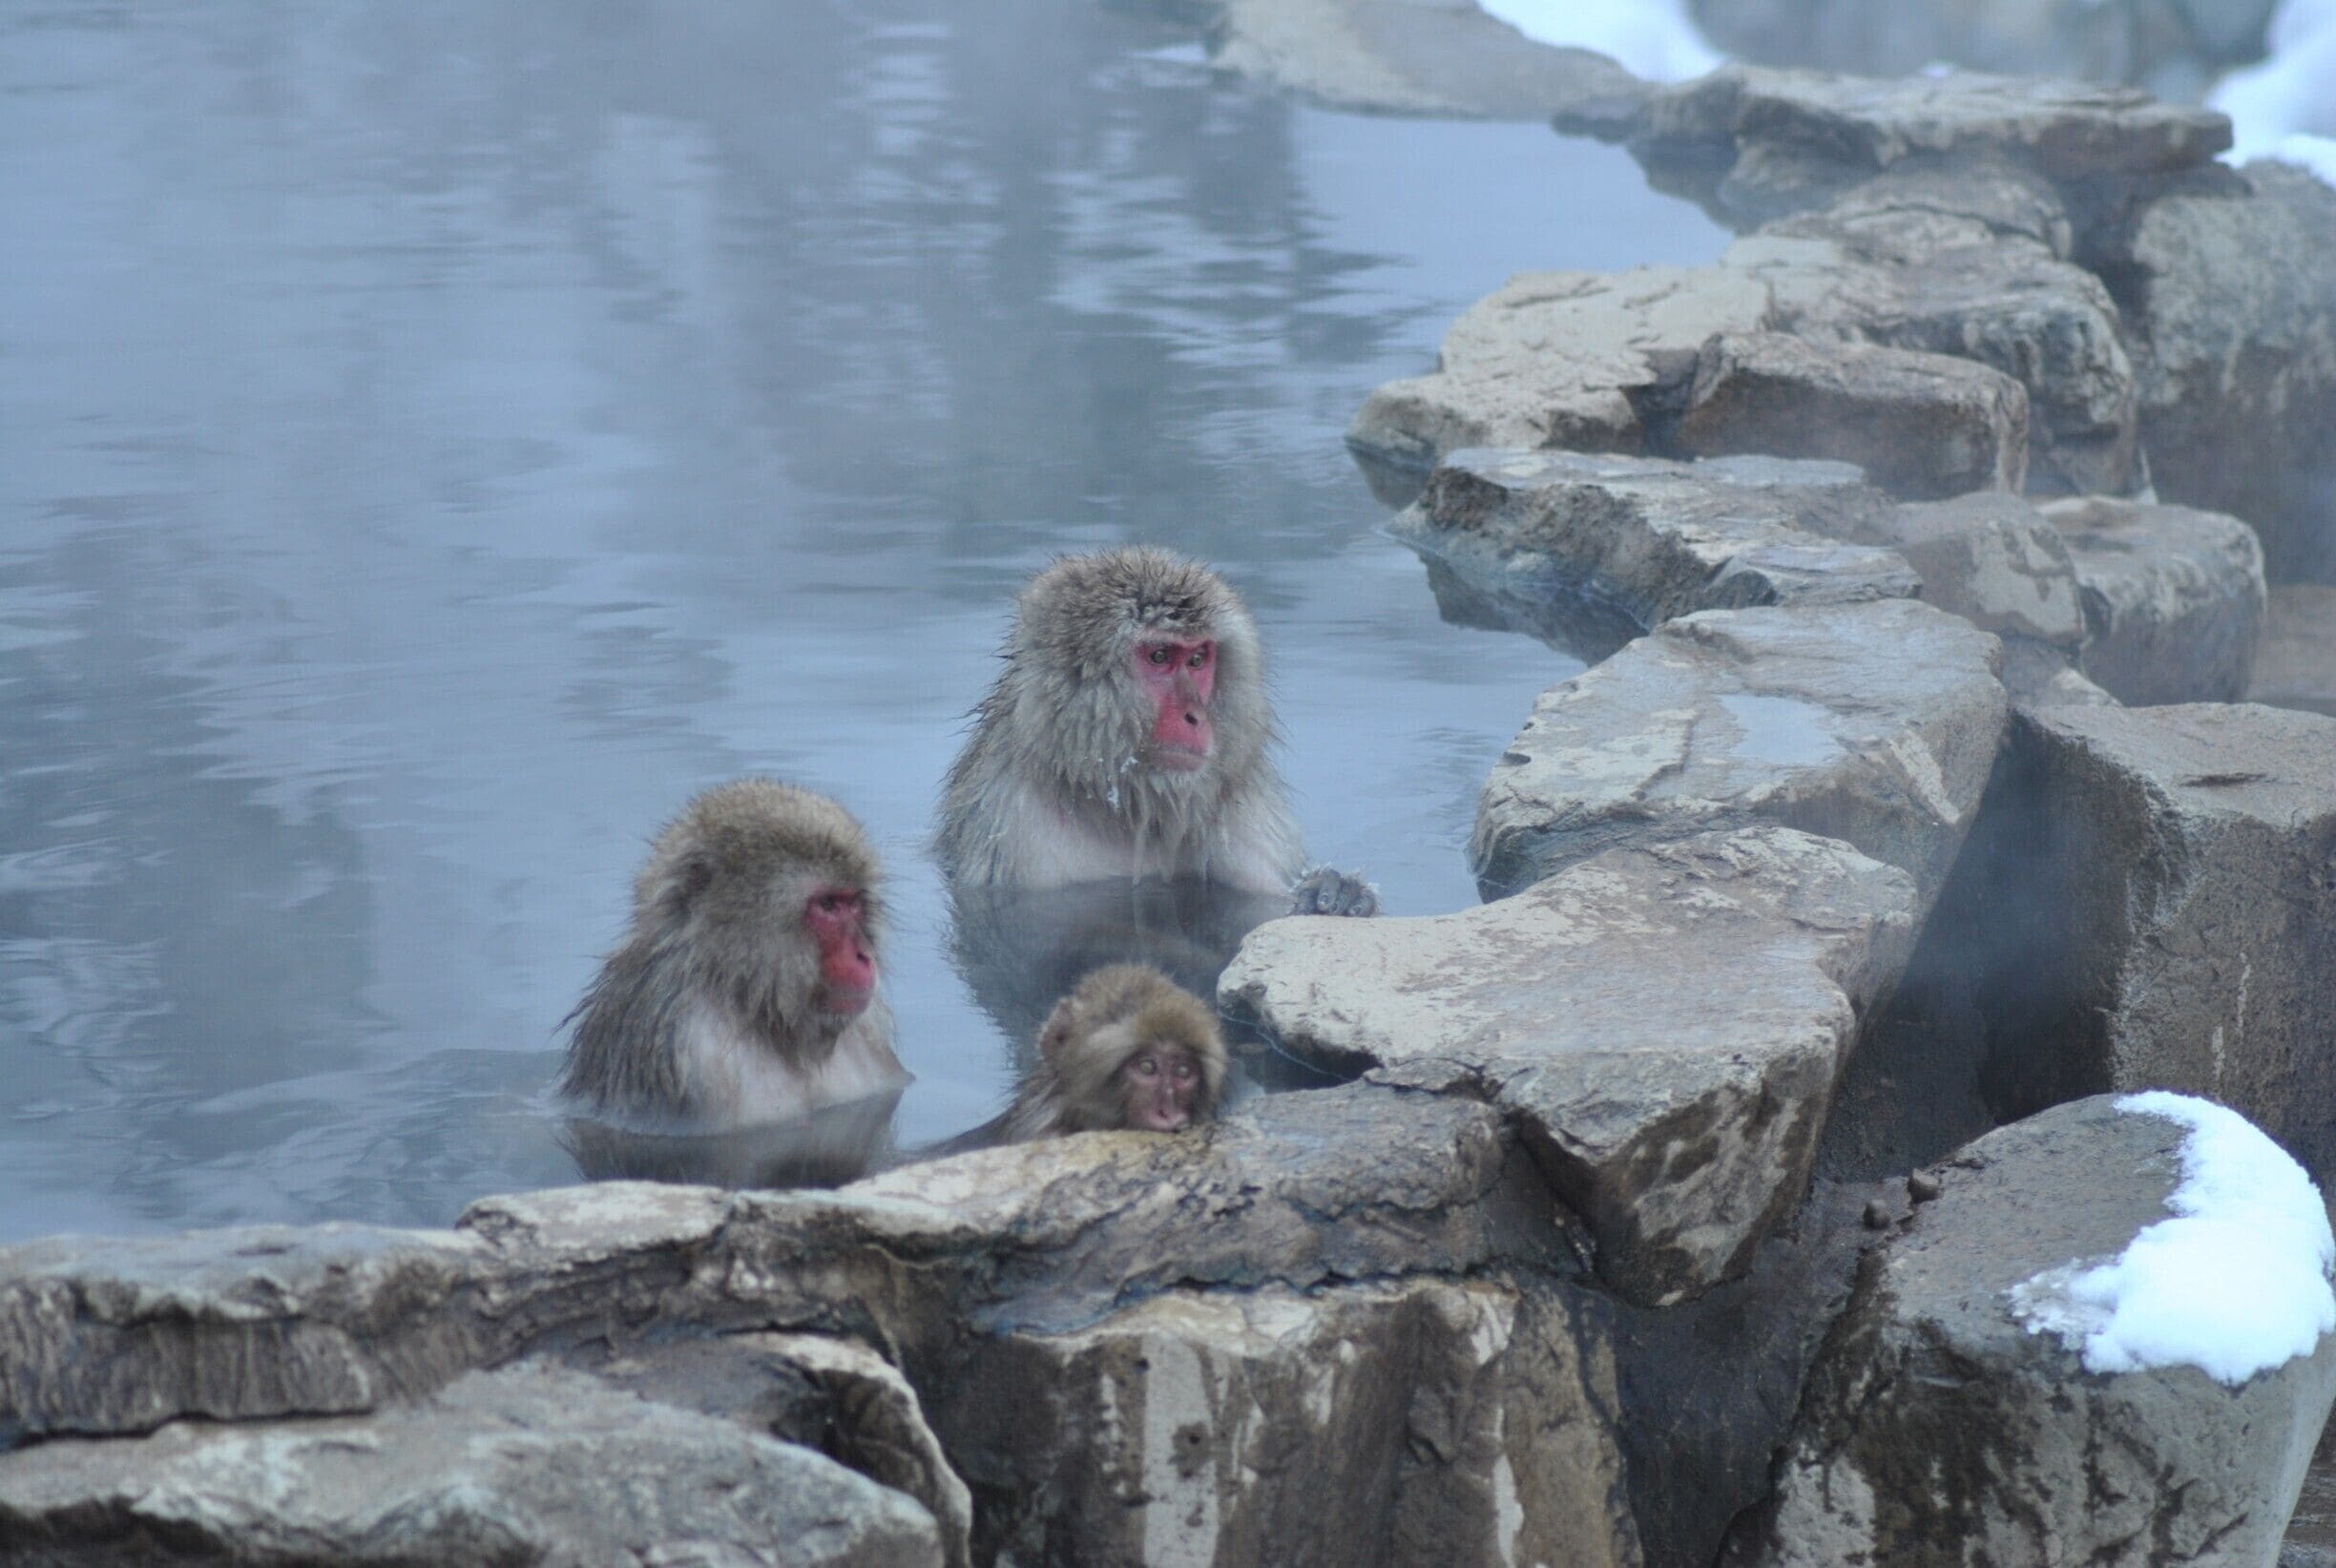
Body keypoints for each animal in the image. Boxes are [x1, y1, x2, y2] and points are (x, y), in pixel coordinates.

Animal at [934, 545, 1378, 918]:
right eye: (1160, 656)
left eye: (1198, 659)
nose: (1196, 716)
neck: (1122, 810)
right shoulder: (1013, 830)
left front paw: (1336, 894)